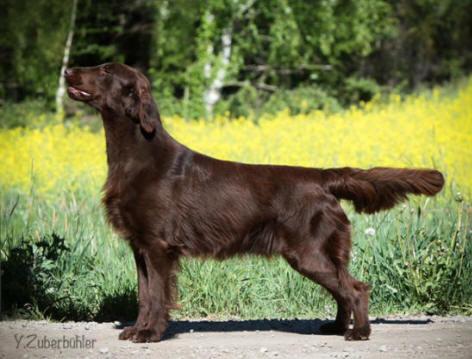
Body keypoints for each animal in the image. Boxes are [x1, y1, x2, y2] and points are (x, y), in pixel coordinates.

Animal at [64, 64, 444, 344]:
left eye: (104, 71)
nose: (67, 70)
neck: (139, 154)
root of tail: (323, 177)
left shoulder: (158, 247)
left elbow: (157, 295)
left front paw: (151, 334)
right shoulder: (140, 246)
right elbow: (144, 295)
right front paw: (137, 329)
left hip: (309, 252)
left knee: (356, 288)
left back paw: (359, 332)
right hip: (317, 254)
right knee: (343, 289)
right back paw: (338, 328)